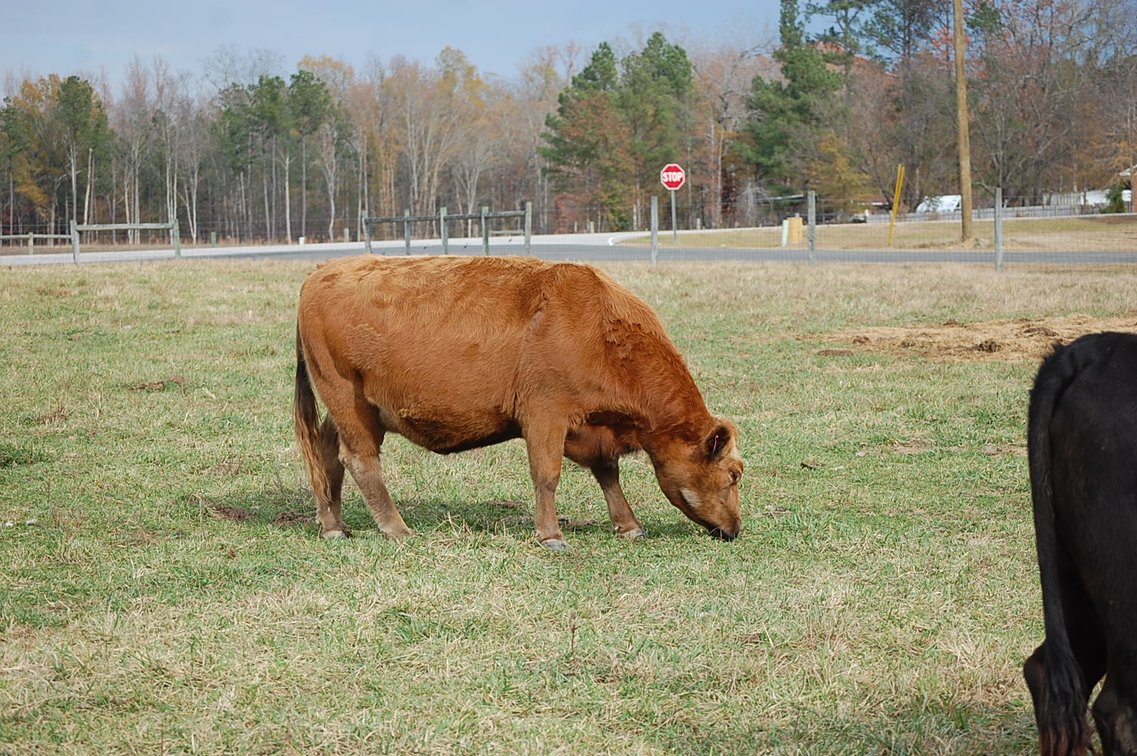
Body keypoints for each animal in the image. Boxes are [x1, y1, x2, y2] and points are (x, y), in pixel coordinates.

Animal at [292, 255, 743, 550]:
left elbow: (607, 473)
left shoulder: (590, 427)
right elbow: (547, 475)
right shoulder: (545, 414)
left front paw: (629, 524)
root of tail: (323, 271)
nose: (736, 529)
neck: (600, 331)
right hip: (346, 397)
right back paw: (396, 528)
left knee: (325, 451)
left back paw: (334, 524)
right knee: (360, 460)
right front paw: (551, 535)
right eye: (734, 474)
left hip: (352, 409)